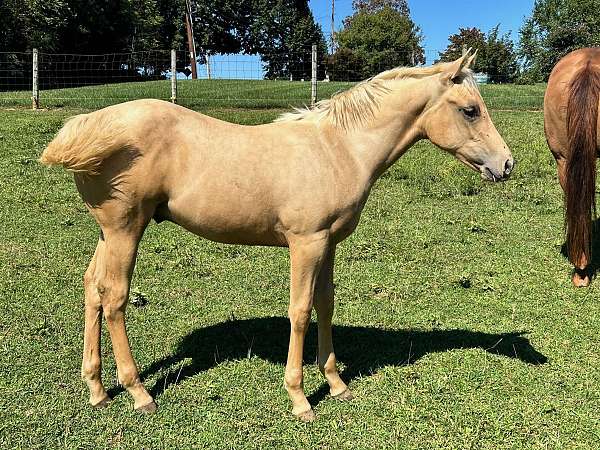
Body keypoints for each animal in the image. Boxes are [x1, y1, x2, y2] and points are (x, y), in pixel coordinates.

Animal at [41, 51, 516, 420]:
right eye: (470, 109)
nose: (506, 164)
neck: (338, 148)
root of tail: (91, 122)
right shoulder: (305, 243)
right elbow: (301, 311)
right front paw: (300, 398)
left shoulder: (328, 243)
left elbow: (325, 305)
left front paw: (336, 384)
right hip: (125, 229)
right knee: (115, 298)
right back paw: (138, 392)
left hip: (109, 232)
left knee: (93, 288)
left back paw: (97, 391)